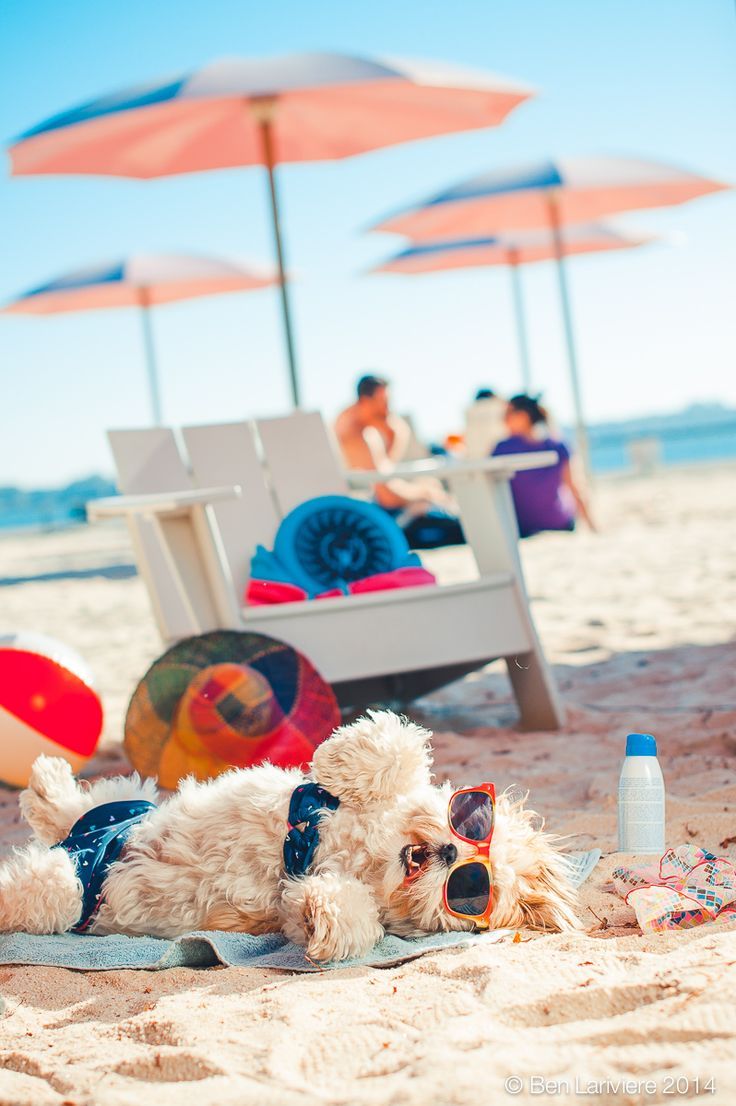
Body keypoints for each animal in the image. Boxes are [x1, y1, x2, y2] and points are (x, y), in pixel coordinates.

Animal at [0, 716, 579, 960]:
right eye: (472, 822)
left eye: (468, 891)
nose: (449, 849)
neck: (369, 854)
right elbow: (395, 748)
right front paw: (345, 756)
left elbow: (348, 918)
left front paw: (318, 914)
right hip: (129, 811)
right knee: (83, 804)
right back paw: (48, 780)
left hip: (70, 887)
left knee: (33, 881)